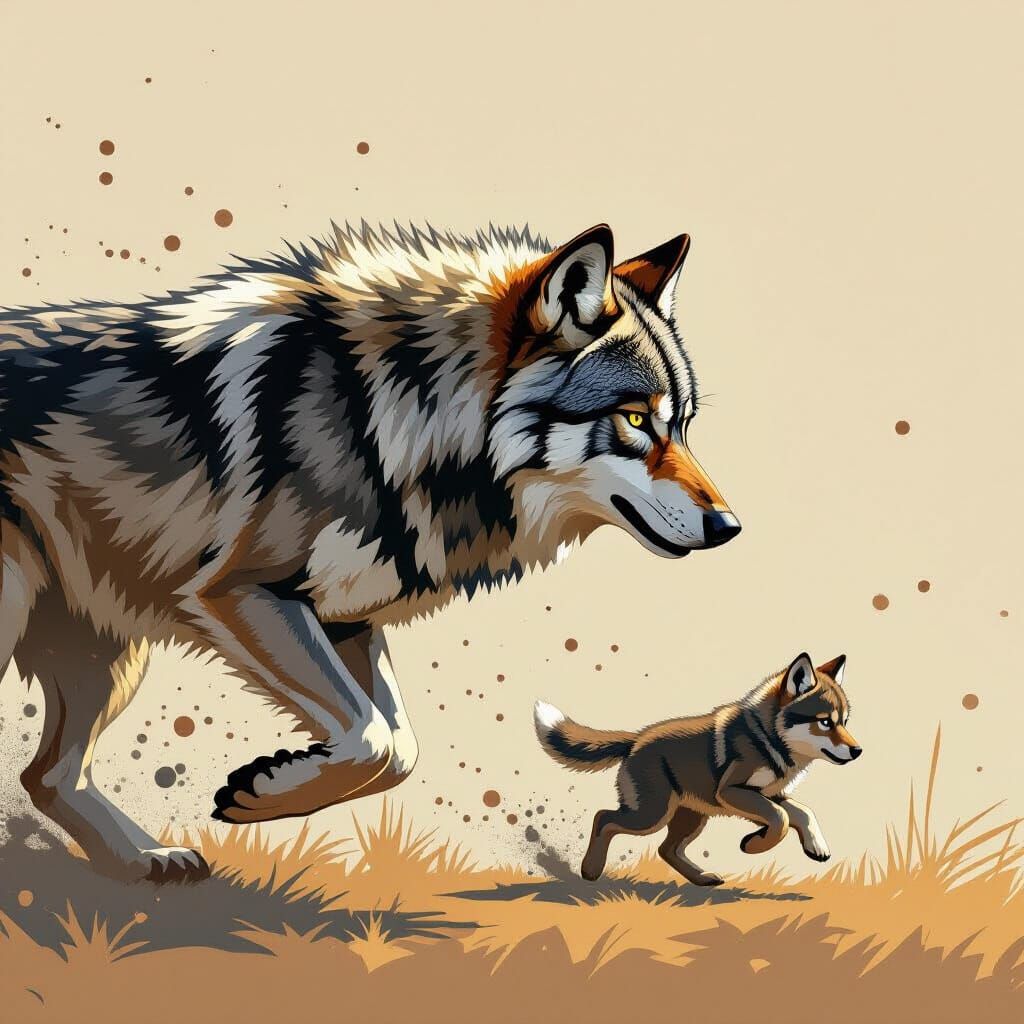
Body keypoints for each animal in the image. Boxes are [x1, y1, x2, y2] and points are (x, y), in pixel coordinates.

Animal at [1, 220, 740, 881]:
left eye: (682, 424)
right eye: (636, 419)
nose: (730, 527)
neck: (388, 421)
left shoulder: (347, 619)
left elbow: (398, 745)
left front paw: (269, 790)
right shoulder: (245, 594)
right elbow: (372, 739)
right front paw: (263, 794)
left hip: (106, 651)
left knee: (49, 776)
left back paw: (143, 861)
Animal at [535, 652, 860, 884]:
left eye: (844, 722)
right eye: (825, 722)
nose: (858, 751)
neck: (767, 737)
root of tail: (636, 739)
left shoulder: (768, 795)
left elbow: (802, 813)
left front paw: (815, 847)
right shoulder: (733, 791)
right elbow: (780, 819)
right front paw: (753, 845)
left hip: (691, 817)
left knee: (666, 849)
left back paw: (702, 878)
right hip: (651, 815)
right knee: (604, 818)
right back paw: (590, 870)